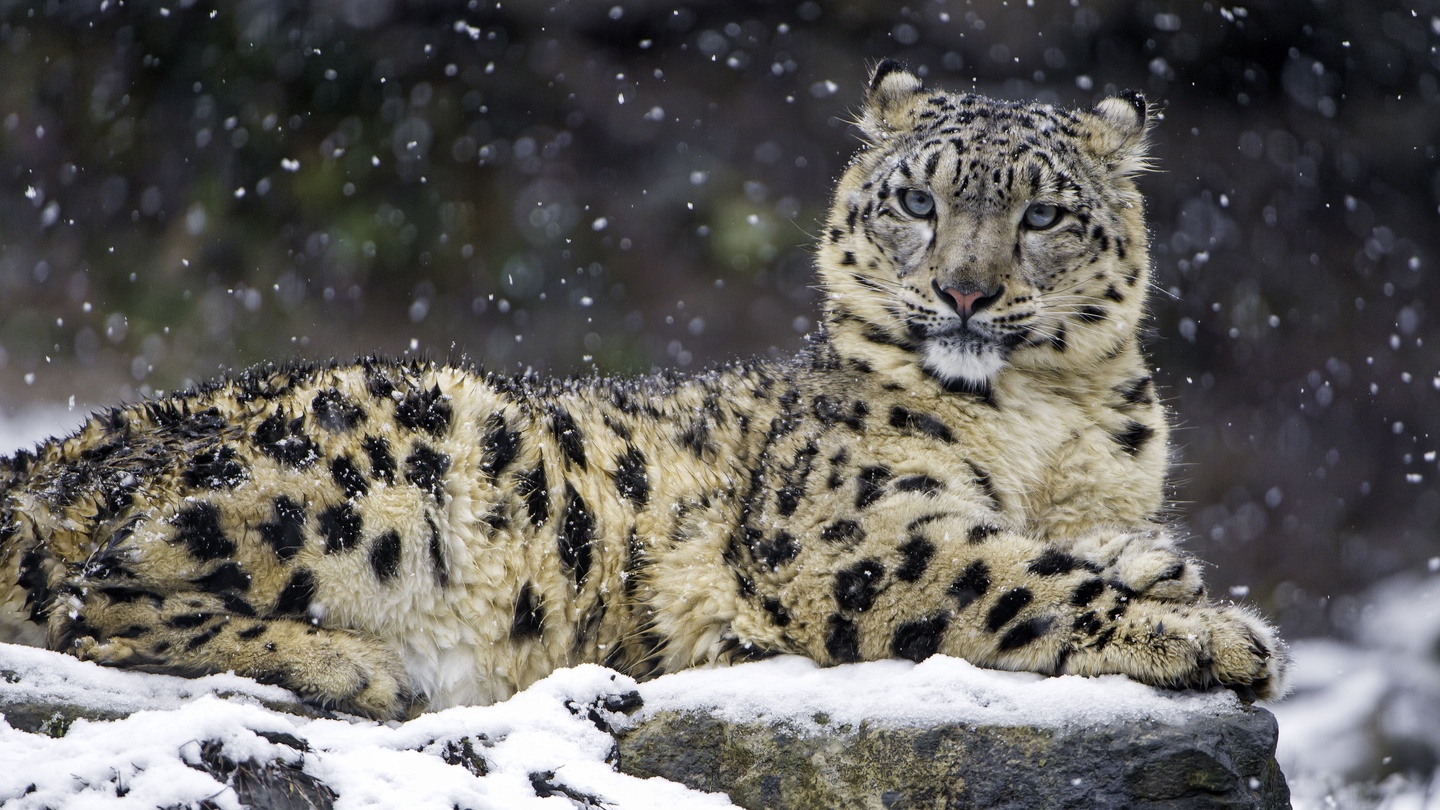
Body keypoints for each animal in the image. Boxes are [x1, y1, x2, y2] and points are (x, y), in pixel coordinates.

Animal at [0, 64, 1284, 717]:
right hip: (382, 457)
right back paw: (347, 664)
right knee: (91, 597)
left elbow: (1061, 545)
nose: (965, 293)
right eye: (917, 201)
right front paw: (1211, 635)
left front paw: (1159, 564)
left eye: (1046, 214)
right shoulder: (847, 528)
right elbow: (1011, 577)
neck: (1047, 424)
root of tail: (51, 452)